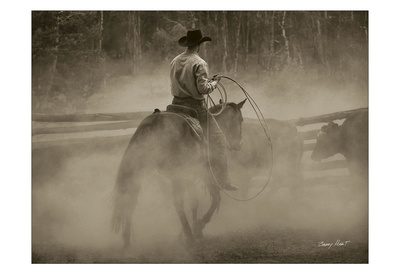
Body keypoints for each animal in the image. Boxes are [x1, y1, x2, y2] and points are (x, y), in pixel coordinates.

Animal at [111, 100, 245, 248]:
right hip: (175, 174)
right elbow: (215, 199)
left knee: (129, 200)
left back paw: (127, 240)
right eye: (241, 120)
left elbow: (194, 203)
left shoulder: (190, 176)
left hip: (139, 172)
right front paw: (198, 226)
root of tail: (153, 124)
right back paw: (189, 235)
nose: (239, 144)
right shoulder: (205, 174)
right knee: (178, 203)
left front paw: (195, 229)